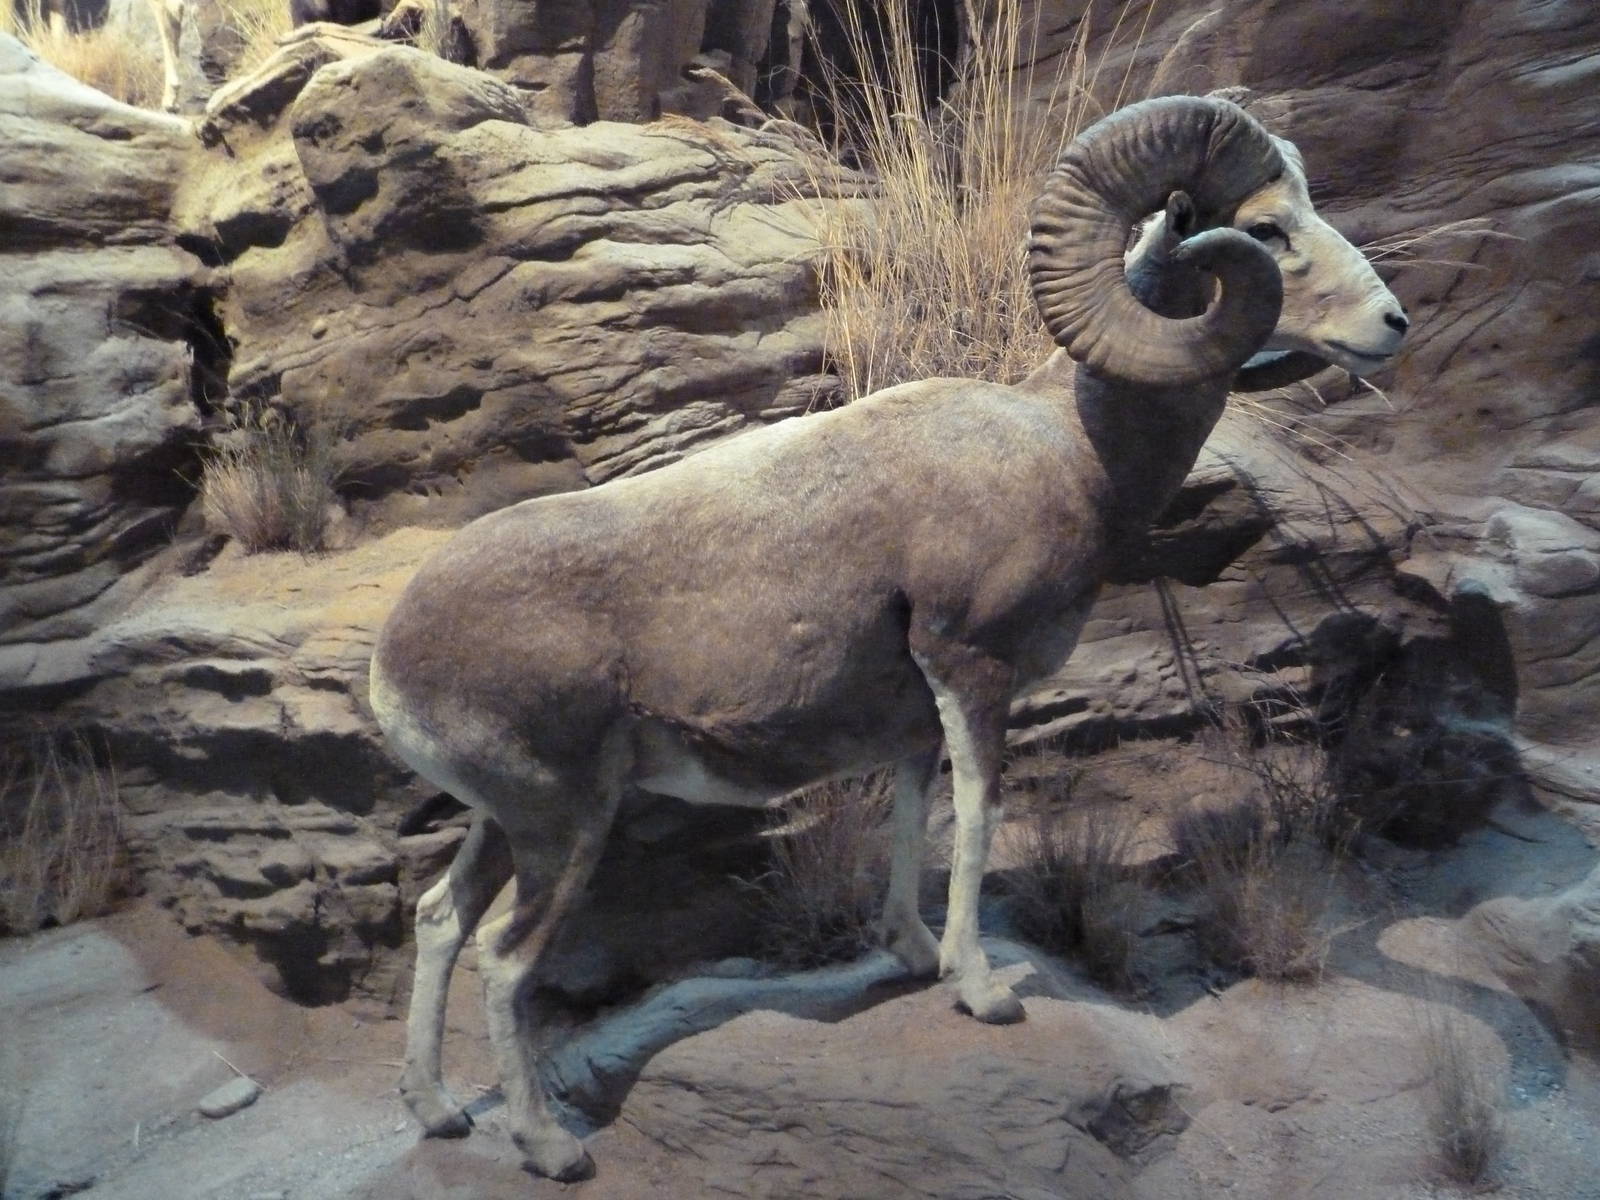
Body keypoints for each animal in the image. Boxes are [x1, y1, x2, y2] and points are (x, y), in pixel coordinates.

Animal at [368, 94, 1408, 1180]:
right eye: (1266, 229)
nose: (1392, 325)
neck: (1072, 446)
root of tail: (391, 670)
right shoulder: (971, 667)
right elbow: (980, 814)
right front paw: (981, 992)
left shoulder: (916, 716)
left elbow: (919, 817)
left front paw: (911, 955)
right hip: (563, 825)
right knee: (505, 960)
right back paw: (547, 1146)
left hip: (507, 822)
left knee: (439, 923)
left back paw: (438, 1112)